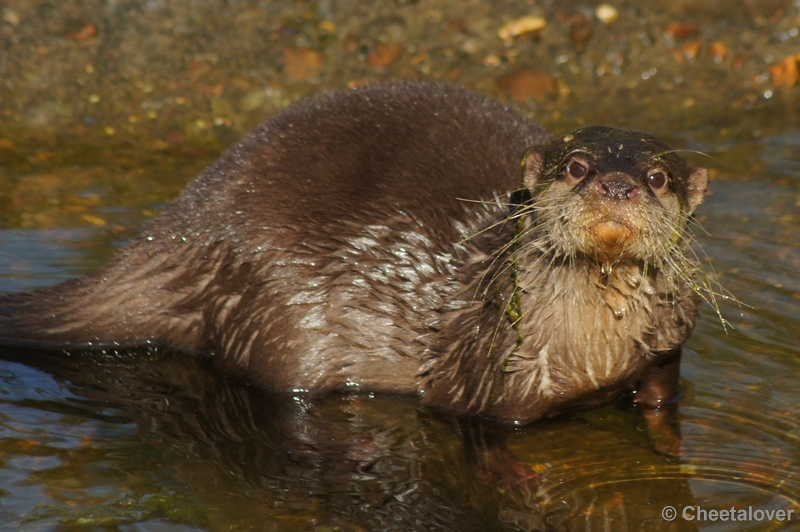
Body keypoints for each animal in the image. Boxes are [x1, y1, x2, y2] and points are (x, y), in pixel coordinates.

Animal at [0, 82, 708, 424]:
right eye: (577, 167)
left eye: (658, 177)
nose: (616, 185)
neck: (594, 355)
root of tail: (181, 232)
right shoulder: (489, 386)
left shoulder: (666, 351)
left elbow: (659, 406)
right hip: (276, 311)